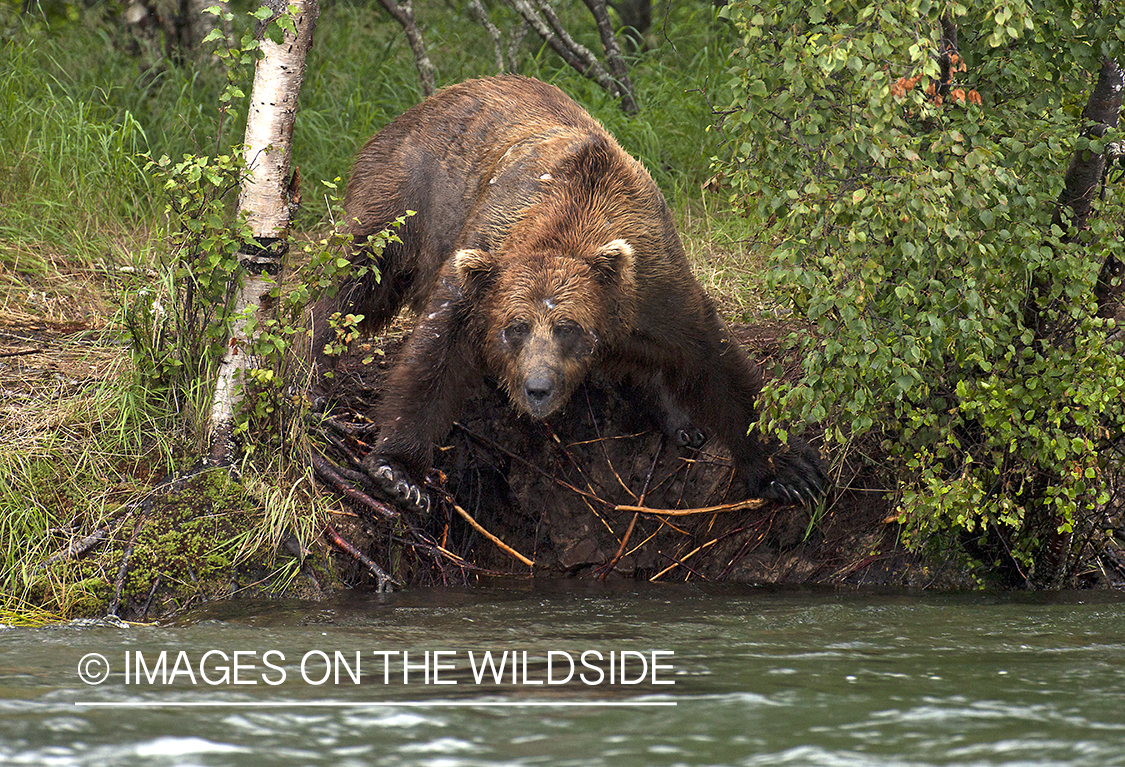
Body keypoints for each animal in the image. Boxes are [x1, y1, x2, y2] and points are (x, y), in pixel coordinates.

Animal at [310, 74, 828, 510]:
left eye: (567, 327)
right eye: (514, 328)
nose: (538, 388)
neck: (574, 214)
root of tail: (418, 107)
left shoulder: (652, 286)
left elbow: (716, 362)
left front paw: (792, 469)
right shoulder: (480, 264)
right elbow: (435, 357)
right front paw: (398, 473)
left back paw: (683, 421)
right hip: (405, 194)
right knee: (352, 281)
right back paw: (310, 374)